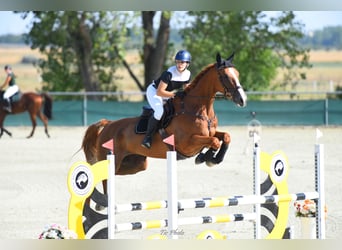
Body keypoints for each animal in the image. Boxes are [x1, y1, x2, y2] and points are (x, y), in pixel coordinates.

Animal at [82, 52, 247, 182]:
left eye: (238, 74)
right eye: (225, 76)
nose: (242, 99)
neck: (199, 109)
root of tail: (108, 124)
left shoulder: (210, 133)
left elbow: (225, 137)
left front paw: (212, 159)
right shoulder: (187, 143)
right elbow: (214, 141)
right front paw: (205, 158)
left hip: (135, 164)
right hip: (112, 159)